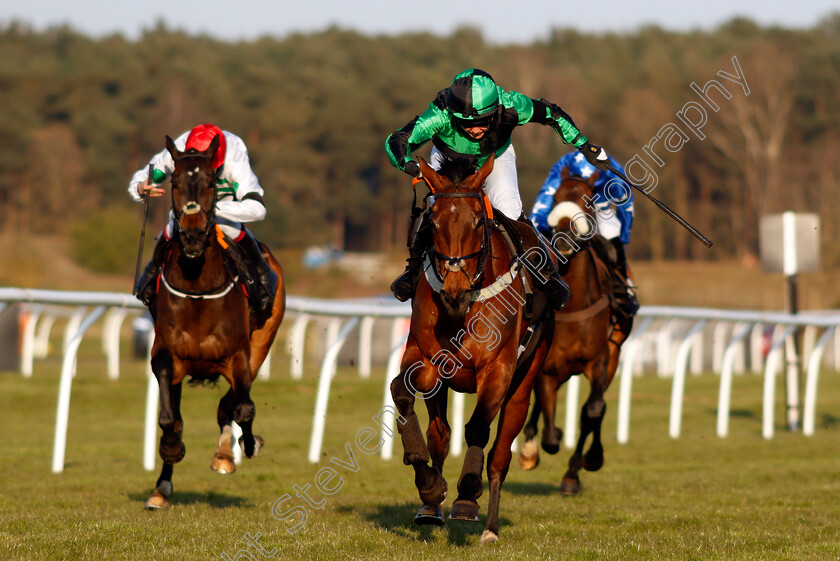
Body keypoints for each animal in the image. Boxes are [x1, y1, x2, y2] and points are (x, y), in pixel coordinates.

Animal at [144, 135, 286, 508]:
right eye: (174, 183)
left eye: (210, 183)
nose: (192, 237)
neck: (197, 289)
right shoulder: (166, 355)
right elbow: (169, 418)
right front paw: (170, 452)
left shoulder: (239, 356)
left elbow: (244, 409)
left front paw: (247, 446)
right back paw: (161, 489)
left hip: (262, 342)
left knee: (231, 405)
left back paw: (227, 453)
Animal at [390, 154, 556, 544]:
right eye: (432, 222)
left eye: (479, 221)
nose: (455, 293)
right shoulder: (426, 359)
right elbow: (401, 393)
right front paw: (430, 486)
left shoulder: (498, 369)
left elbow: (479, 428)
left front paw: (466, 497)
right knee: (440, 435)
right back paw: (430, 508)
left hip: (524, 383)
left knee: (500, 456)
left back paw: (490, 527)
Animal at [520, 170, 632, 494]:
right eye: (555, 198)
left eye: (588, 201)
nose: (564, 240)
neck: (575, 304)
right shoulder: (548, 369)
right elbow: (549, 435)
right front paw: (540, 441)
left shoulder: (599, 362)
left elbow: (593, 410)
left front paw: (581, 467)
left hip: (614, 352)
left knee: (596, 409)